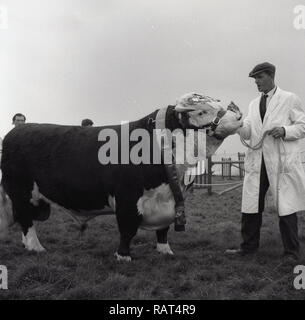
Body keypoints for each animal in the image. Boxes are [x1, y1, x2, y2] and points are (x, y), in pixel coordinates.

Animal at [0, 92, 242, 260]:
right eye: (201, 112)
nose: (238, 116)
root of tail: (17, 131)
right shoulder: (127, 198)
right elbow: (127, 230)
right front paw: (123, 256)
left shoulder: (169, 199)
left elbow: (163, 230)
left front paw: (165, 251)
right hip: (21, 193)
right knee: (26, 219)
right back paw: (36, 247)